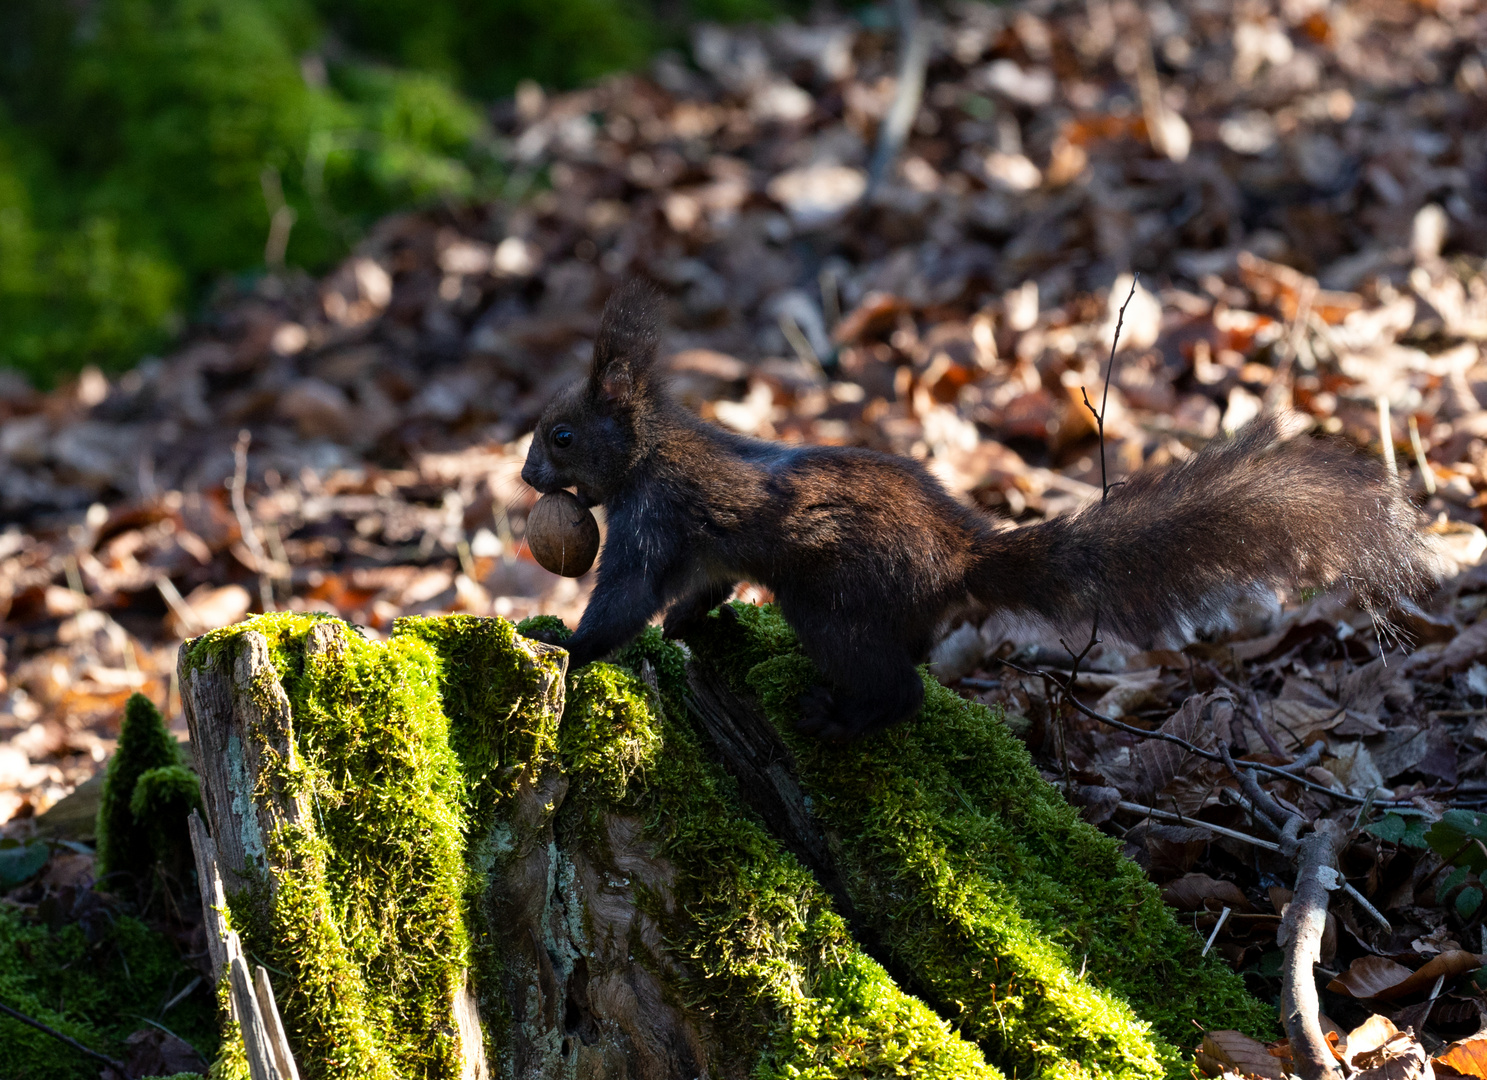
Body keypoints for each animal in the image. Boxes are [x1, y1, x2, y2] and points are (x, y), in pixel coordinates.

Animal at [523, 284, 1439, 743]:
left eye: (561, 435)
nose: (530, 474)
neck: (650, 450)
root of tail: (959, 556)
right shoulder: (695, 550)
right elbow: (695, 591)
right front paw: (685, 628)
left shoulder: (652, 522)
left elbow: (624, 601)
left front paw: (566, 645)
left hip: (834, 604)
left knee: (899, 689)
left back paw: (841, 720)